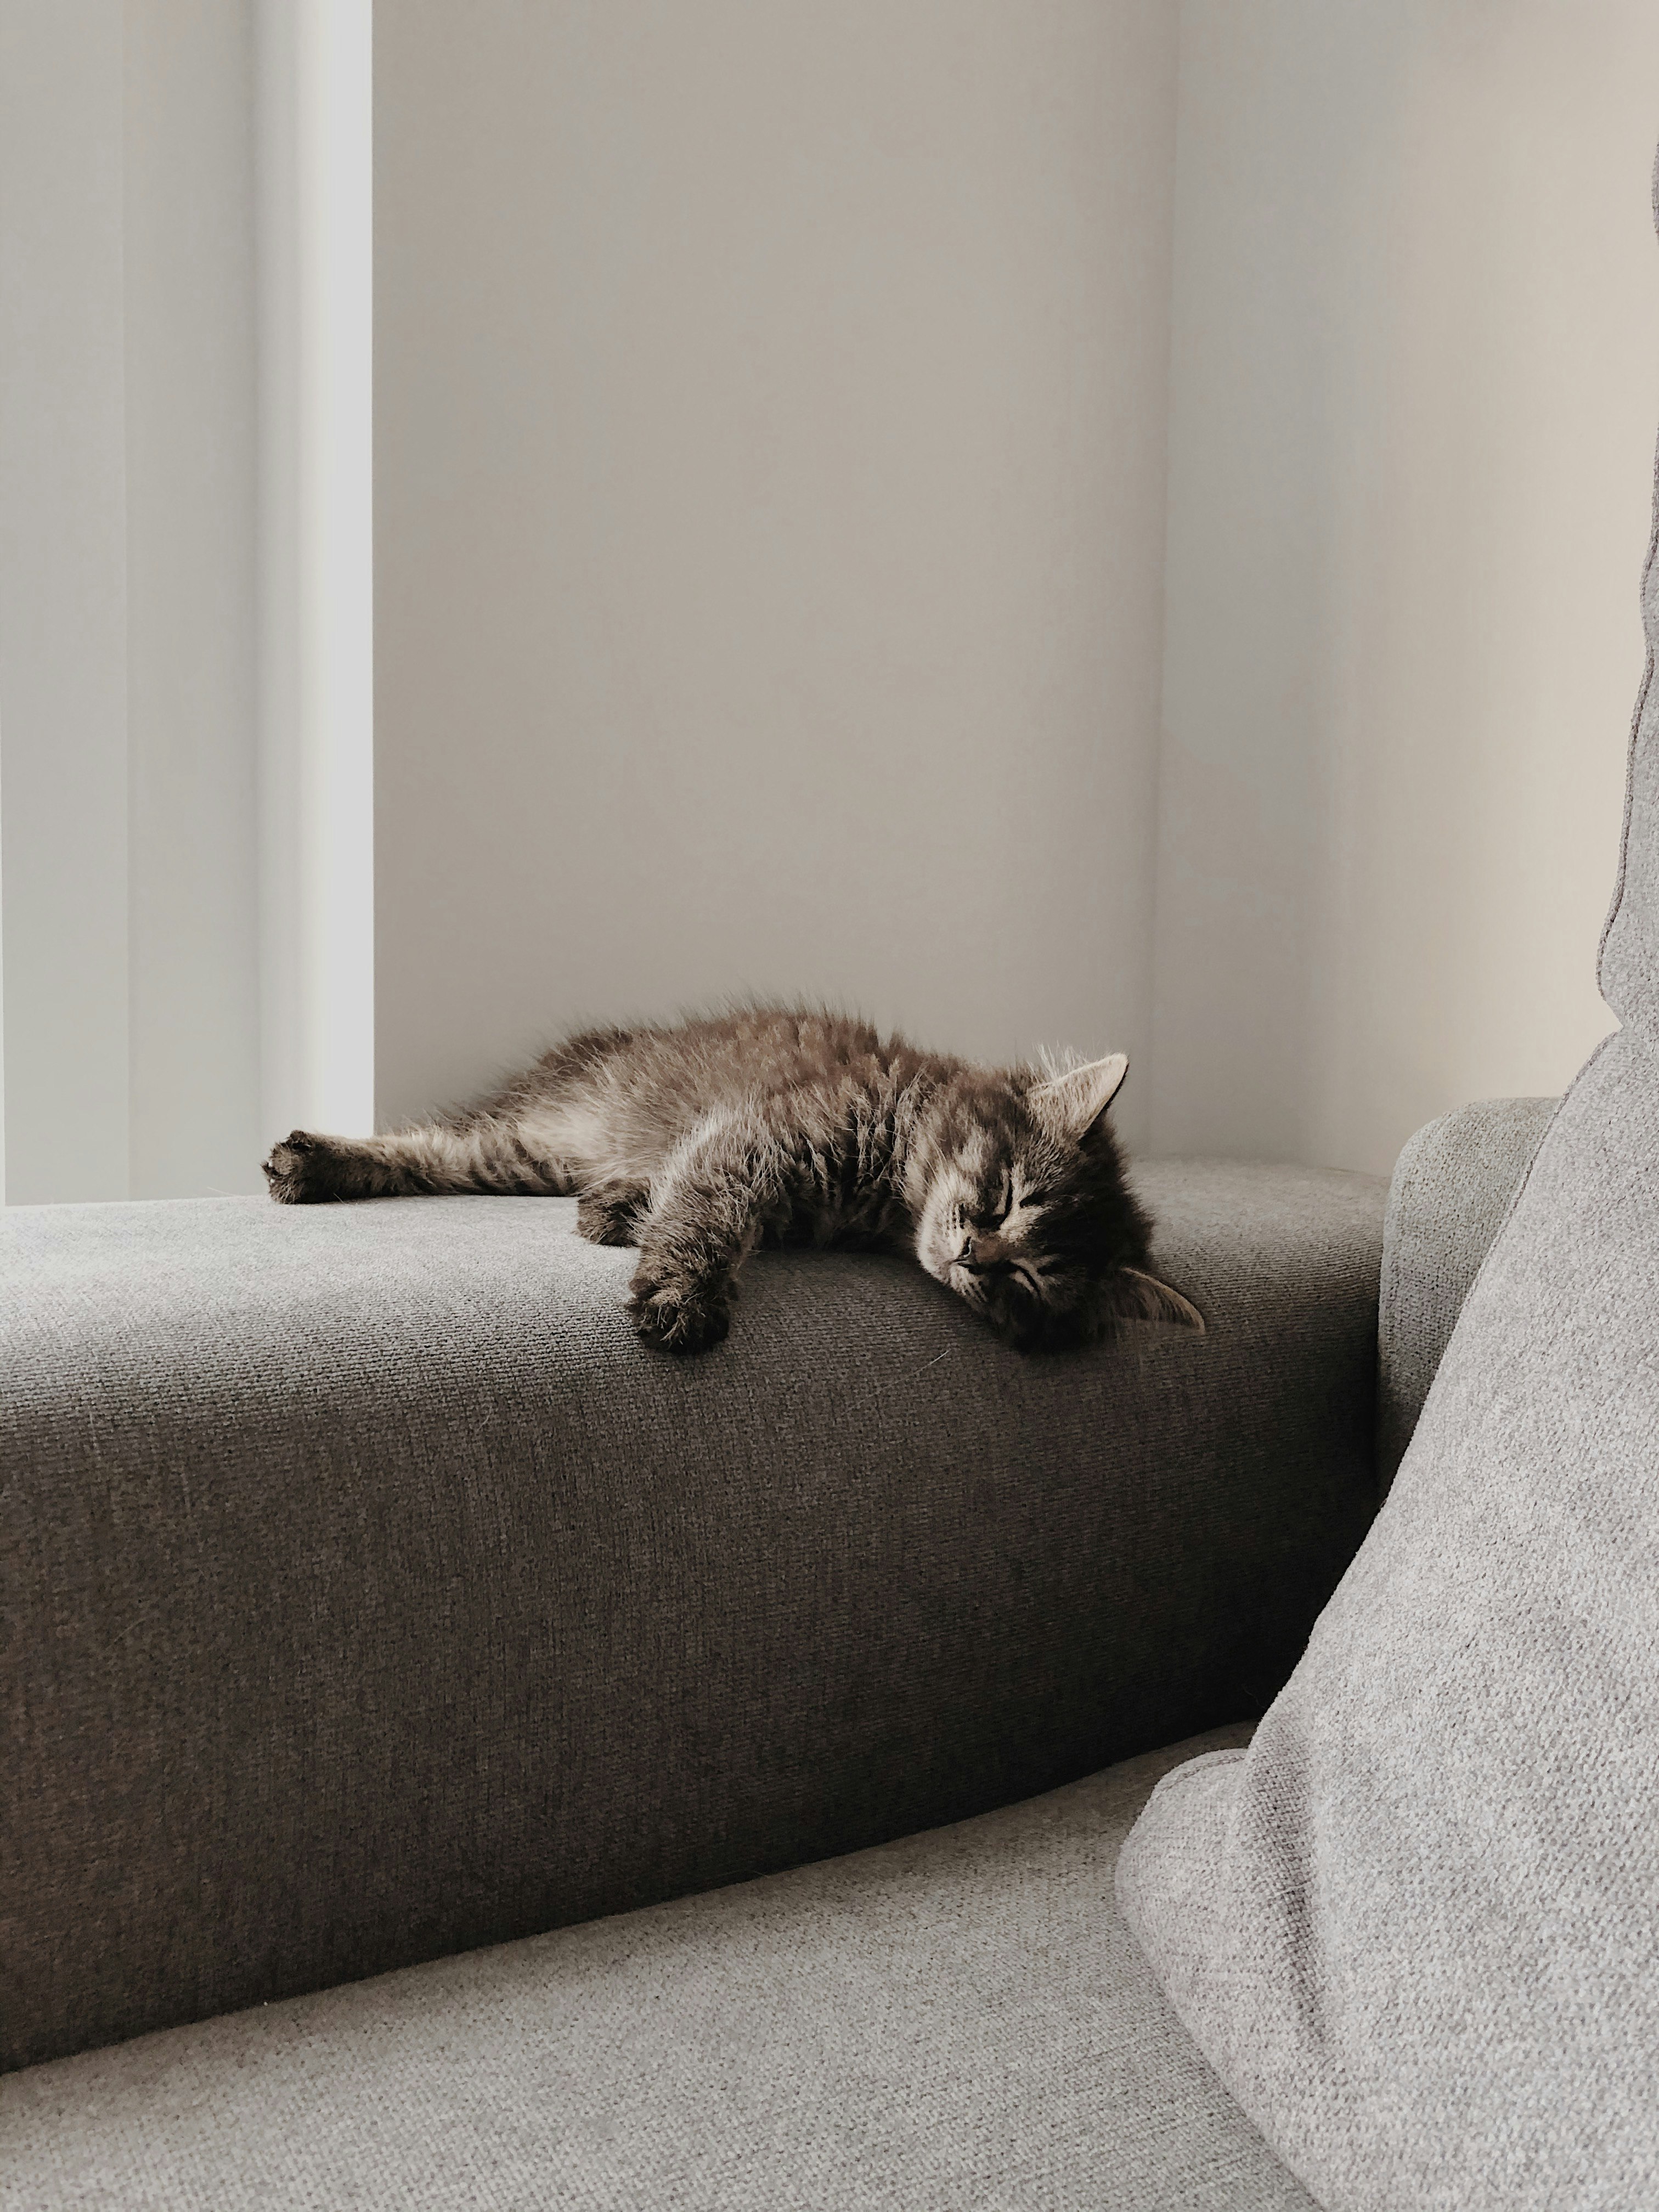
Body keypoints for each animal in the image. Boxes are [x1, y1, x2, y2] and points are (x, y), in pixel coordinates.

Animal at [263, 1013, 1212, 1353]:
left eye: (1033, 1278)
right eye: (1009, 1194)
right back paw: (310, 1161)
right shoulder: (756, 1139)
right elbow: (707, 1217)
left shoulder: (748, 1157)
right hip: (527, 1141)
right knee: (429, 1147)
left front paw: (628, 1219)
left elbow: (682, 1200)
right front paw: (680, 1297)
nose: (975, 1255)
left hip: (537, 1158)